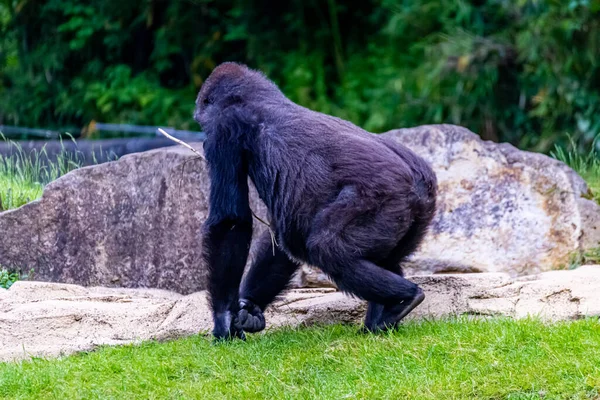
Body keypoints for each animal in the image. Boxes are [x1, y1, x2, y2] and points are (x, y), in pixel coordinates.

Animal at [196, 62, 436, 340]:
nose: (199, 131)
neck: (259, 97)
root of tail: (419, 183)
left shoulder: (224, 130)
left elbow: (230, 221)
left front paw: (224, 319)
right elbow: (281, 238)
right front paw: (250, 307)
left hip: (384, 199)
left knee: (327, 248)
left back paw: (405, 298)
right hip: (419, 213)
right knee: (384, 259)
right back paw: (382, 318)